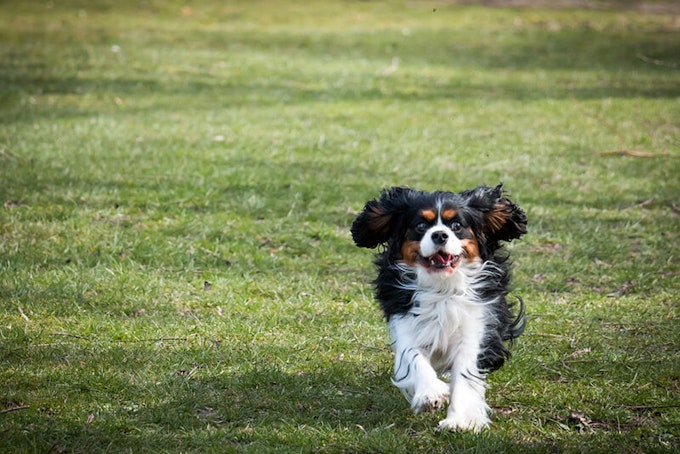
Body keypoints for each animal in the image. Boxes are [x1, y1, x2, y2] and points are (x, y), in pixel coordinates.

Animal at [354, 183, 528, 430]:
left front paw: (460, 419)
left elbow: (465, 372)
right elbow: (414, 358)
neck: (442, 287)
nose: (439, 234)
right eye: (420, 226)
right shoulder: (406, 322)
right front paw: (431, 394)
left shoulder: (475, 326)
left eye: (457, 226)